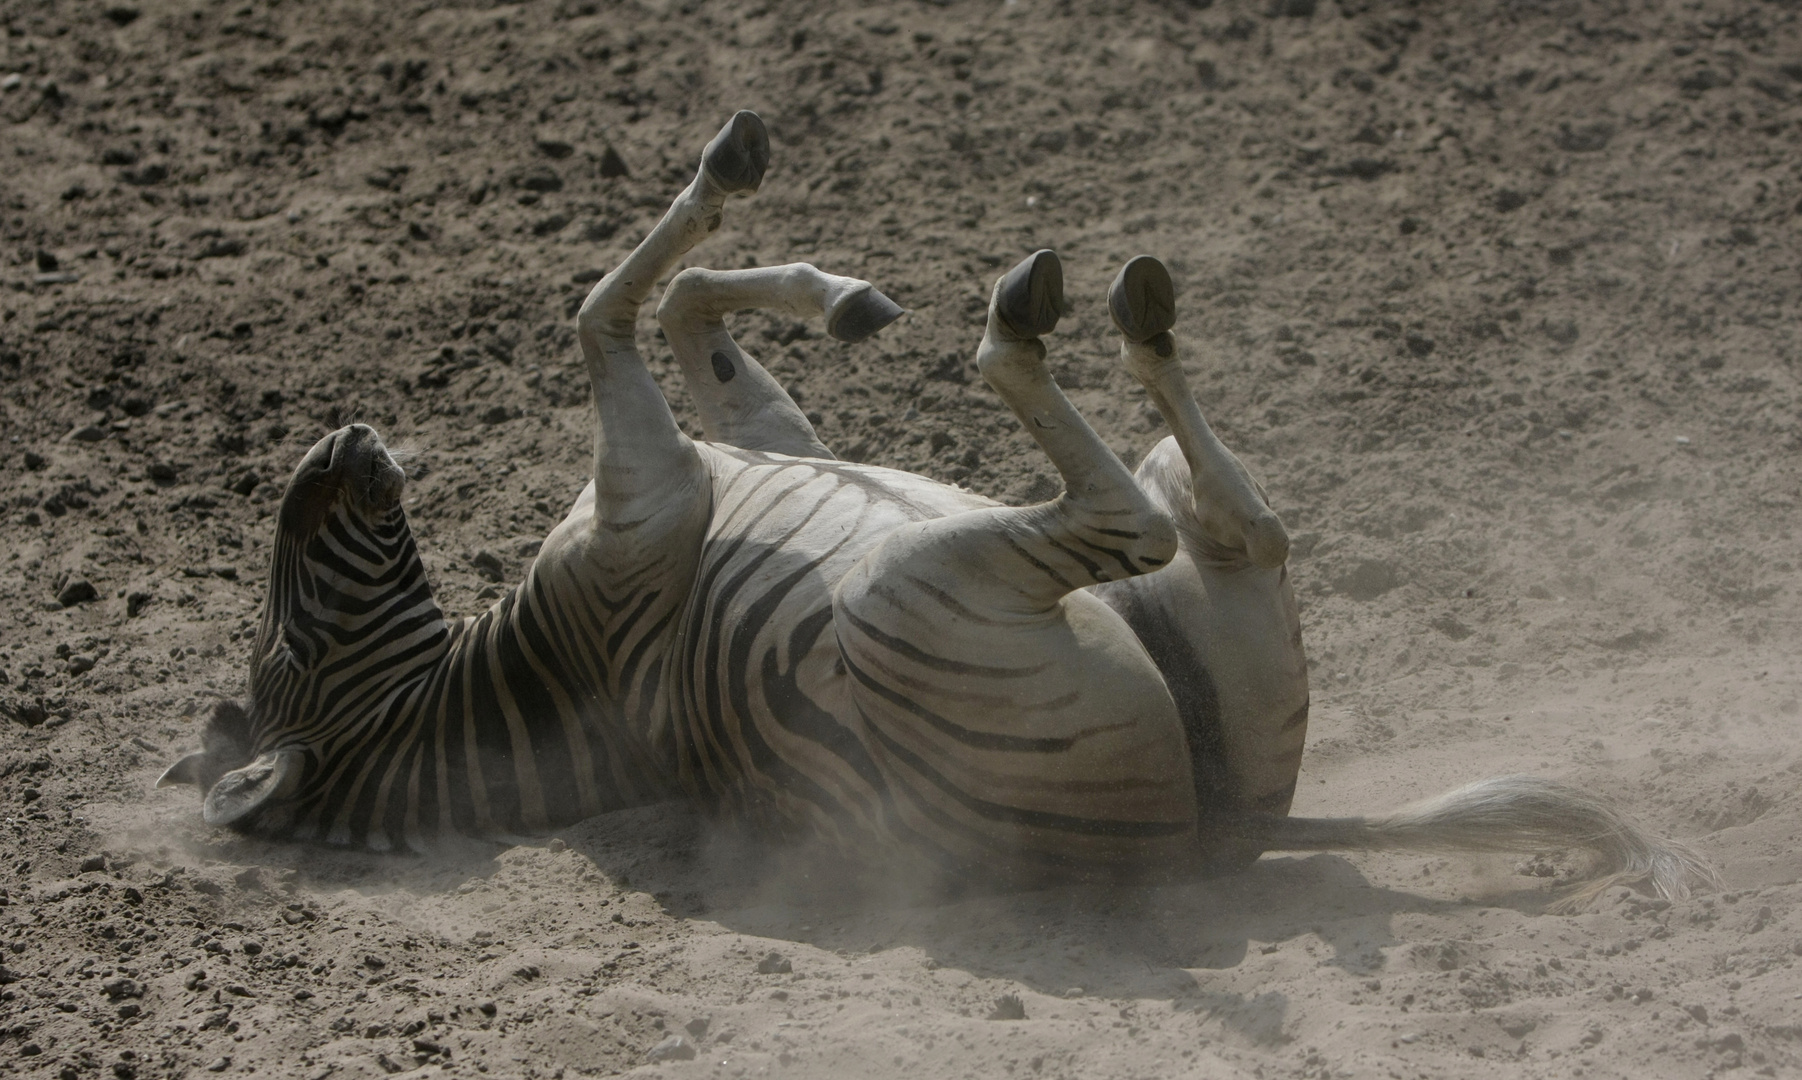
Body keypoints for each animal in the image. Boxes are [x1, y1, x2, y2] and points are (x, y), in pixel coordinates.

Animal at [165, 109, 1715, 905]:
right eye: (286, 646)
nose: (334, 436)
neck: (512, 677)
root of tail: (1216, 845)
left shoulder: (739, 449)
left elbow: (681, 306)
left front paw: (833, 290)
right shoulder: (652, 493)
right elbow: (602, 303)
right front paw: (740, 193)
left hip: (1176, 625)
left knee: (1229, 522)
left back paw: (1125, 314)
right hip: (904, 592)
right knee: (1142, 518)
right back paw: (1032, 323)